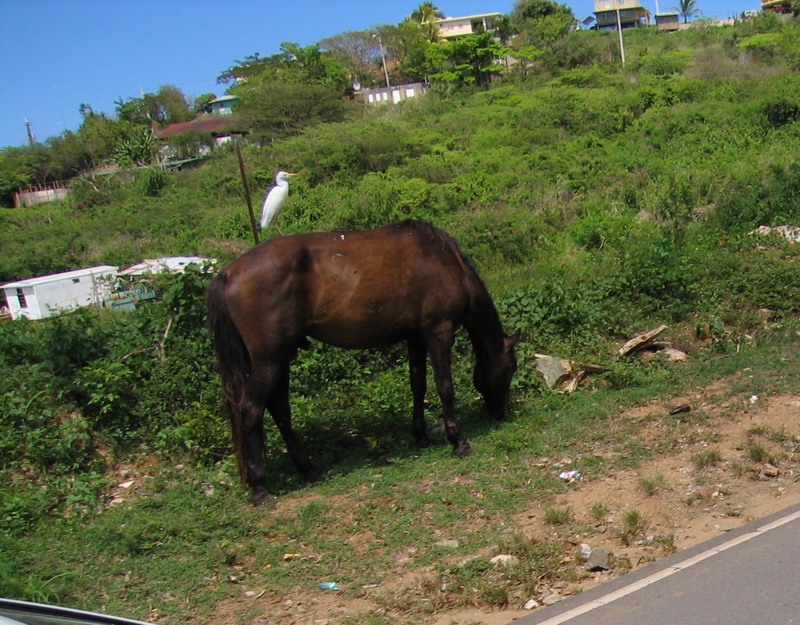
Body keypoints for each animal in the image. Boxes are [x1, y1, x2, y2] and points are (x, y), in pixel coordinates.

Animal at [206, 219, 520, 502]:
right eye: (510, 370)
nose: (500, 413)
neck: (446, 262)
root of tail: (228, 273)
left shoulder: (415, 337)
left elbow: (417, 384)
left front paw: (421, 436)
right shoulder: (438, 333)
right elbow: (445, 387)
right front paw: (458, 441)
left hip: (281, 357)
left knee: (280, 410)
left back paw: (309, 470)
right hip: (269, 359)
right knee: (251, 411)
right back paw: (260, 488)